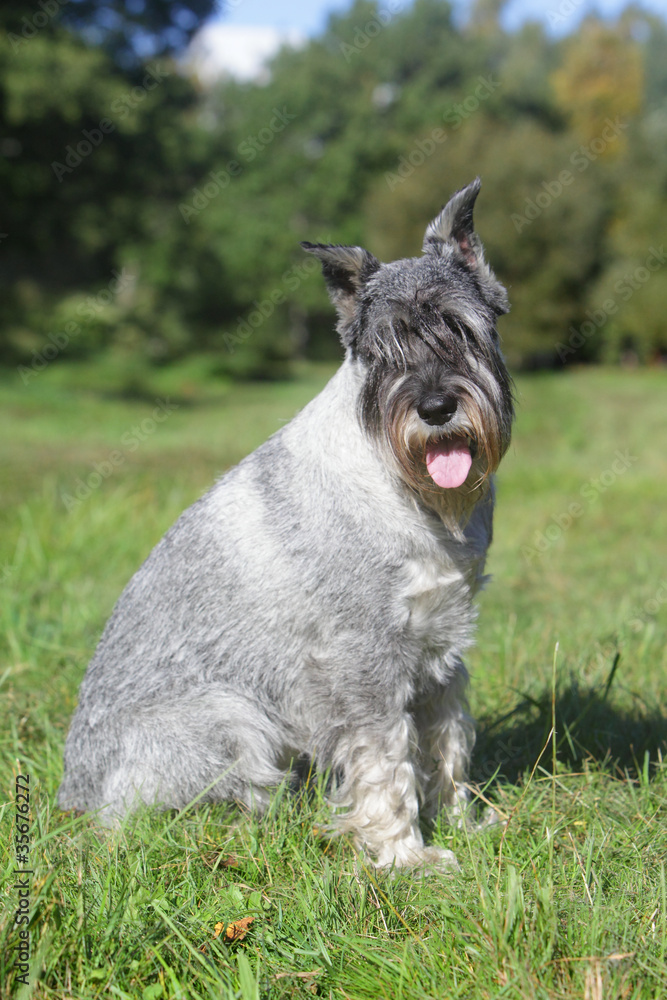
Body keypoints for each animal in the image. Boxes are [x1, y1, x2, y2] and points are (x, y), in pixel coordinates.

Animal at [60, 178, 516, 868]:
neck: (404, 489)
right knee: (170, 818)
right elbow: (387, 760)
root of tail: (71, 799)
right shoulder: (363, 660)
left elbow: (446, 742)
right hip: (232, 719)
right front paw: (404, 857)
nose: (436, 407)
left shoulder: (441, 649)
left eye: (461, 328)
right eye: (379, 352)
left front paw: (462, 823)